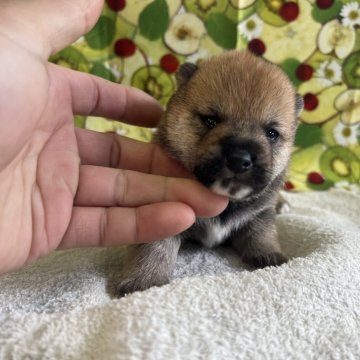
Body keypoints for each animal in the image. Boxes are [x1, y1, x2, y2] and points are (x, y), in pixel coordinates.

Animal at [117, 50, 300, 294]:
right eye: (210, 120)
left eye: (272, 133)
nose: (240, 160)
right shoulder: (165, 212)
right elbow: (155, 246)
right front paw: (145, 280)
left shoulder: (260, 214)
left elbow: (262, 234)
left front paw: (270, 256)